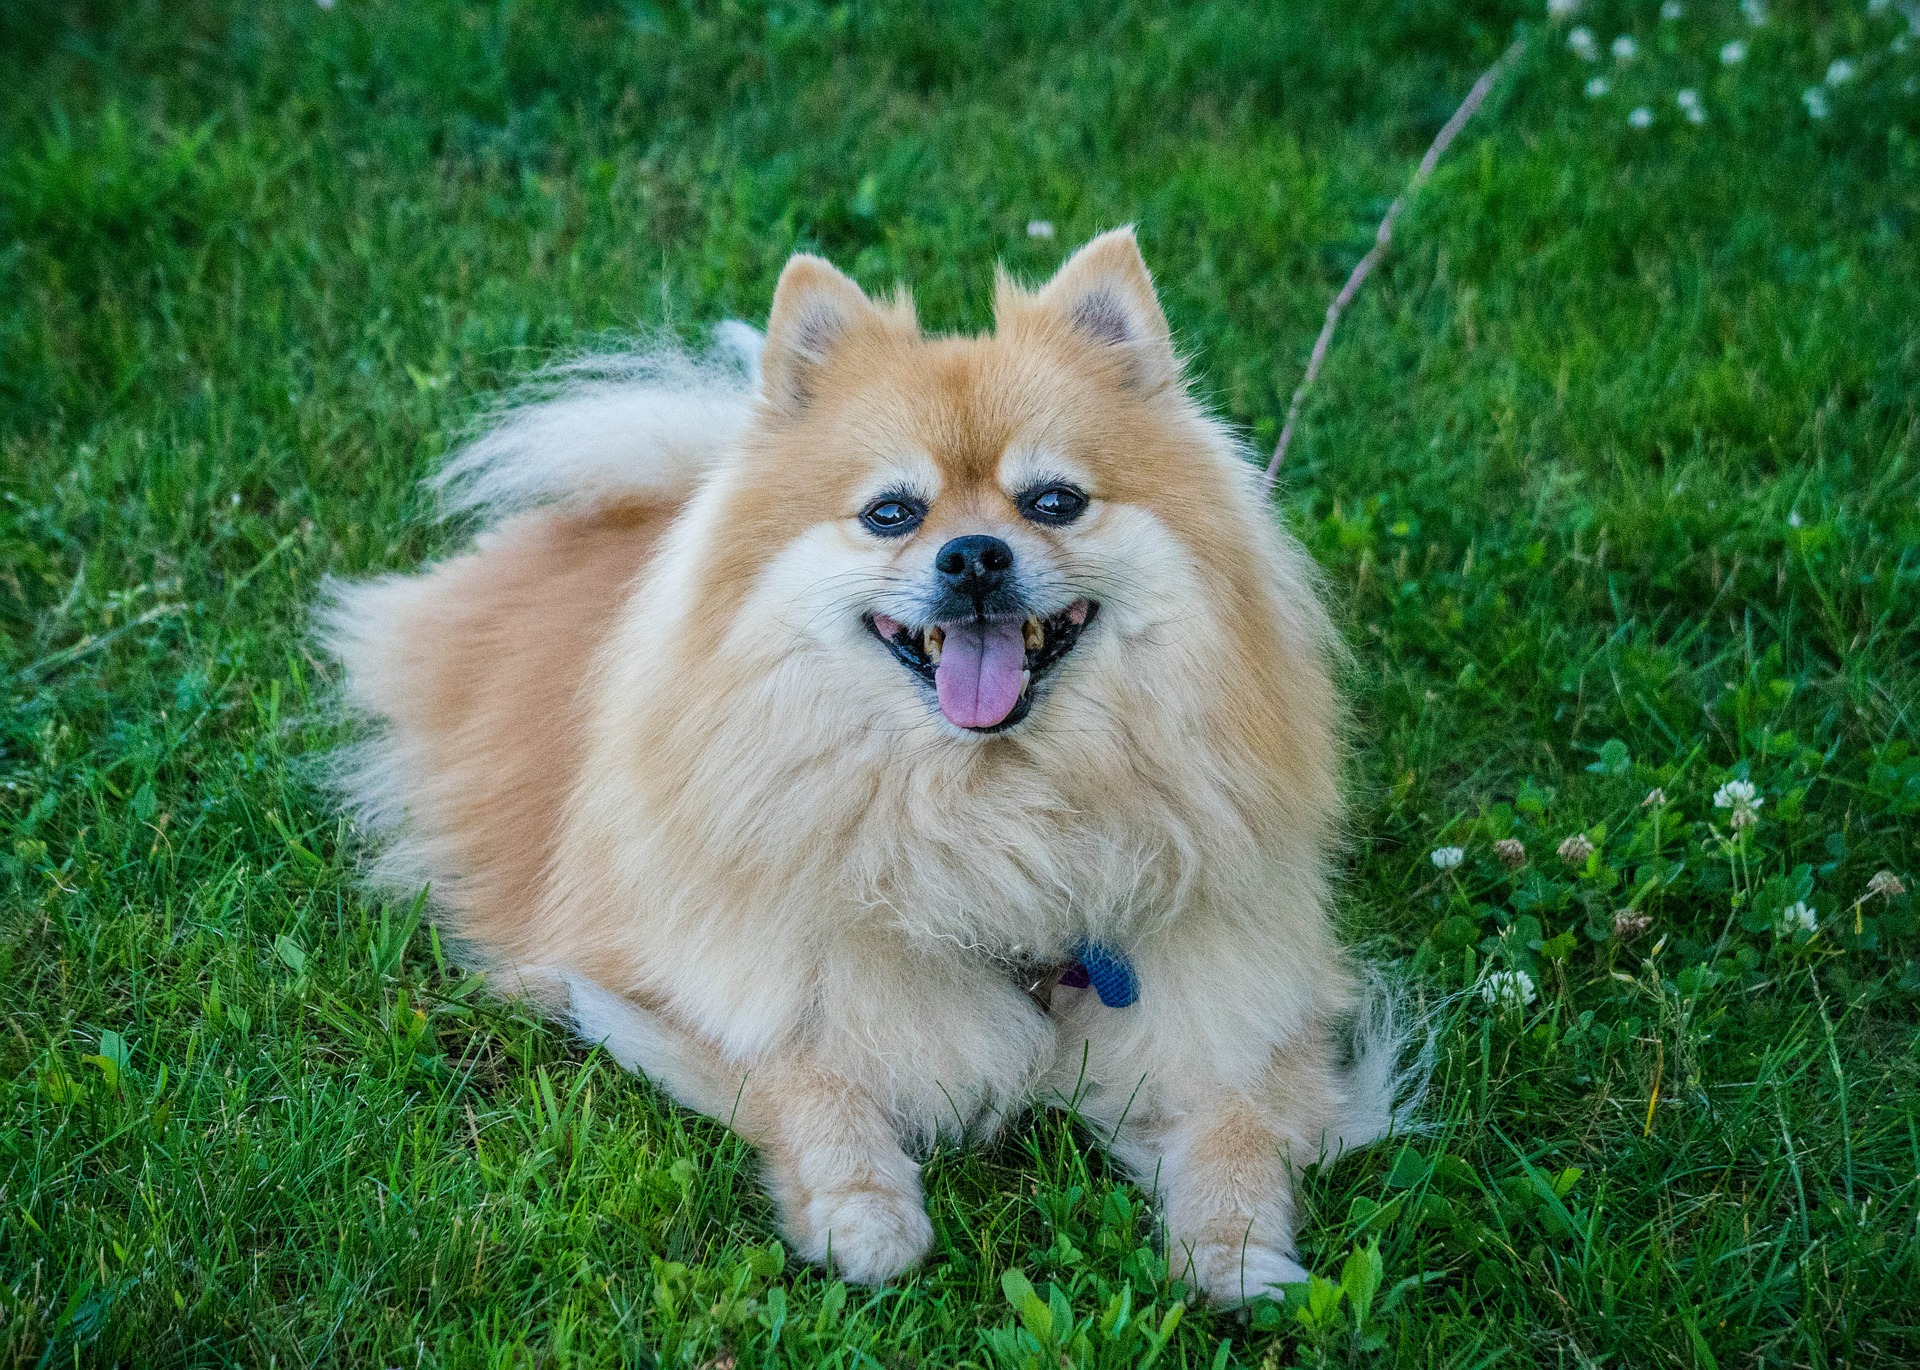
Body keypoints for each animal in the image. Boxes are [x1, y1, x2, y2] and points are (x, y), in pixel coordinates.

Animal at [322, 229, 1420, 1297]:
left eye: (1055, 501)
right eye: (893, 512)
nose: (972, 555)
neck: (993, 814)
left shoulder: (1244, 1004)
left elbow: (1240, 1129)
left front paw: (1238, 1250)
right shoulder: (672, 978)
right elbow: (804, 1077)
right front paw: (865, 1211)